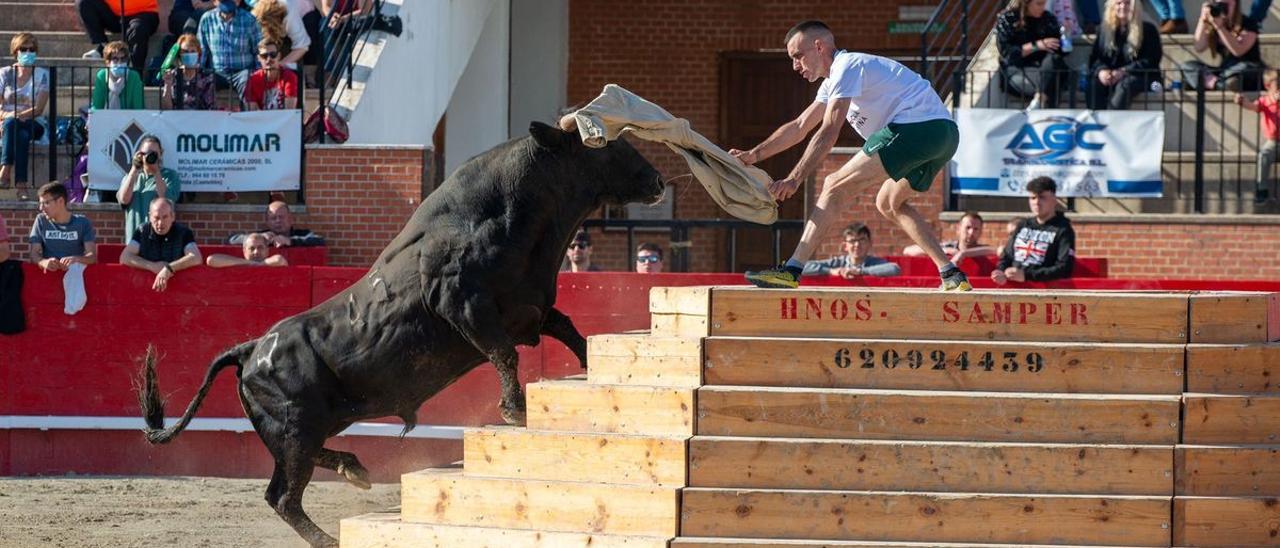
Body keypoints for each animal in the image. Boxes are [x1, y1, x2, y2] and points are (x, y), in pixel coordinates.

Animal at [136, 122, 665, 545]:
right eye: (606, 147)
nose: (659, 180)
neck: (506, 217)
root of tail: (249, 349)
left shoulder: (530, 308)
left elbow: (570, 330)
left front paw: (591, 371)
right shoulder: (464, 306)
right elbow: (505, 354)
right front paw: (515, 410)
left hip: (305, 426)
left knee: (294, 475)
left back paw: (354, 467)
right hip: (293, 426)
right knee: (283, 495)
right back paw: (332, 535)